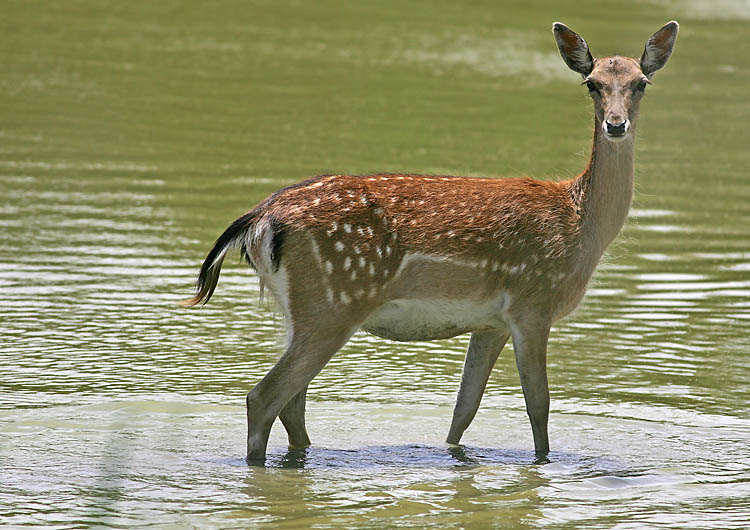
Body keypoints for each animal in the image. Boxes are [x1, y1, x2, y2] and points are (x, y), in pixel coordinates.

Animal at [182, 22, 680, 462]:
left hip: (299, 311)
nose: (616, 125)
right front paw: (543, 464)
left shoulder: (492, 322)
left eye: (641, 83)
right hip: (332, 303)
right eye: (592, 84)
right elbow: (538, 406)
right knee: (264, 398)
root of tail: (260, 219)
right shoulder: (533, 302)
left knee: (292, 405)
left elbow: (465, 408)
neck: (578, 227)